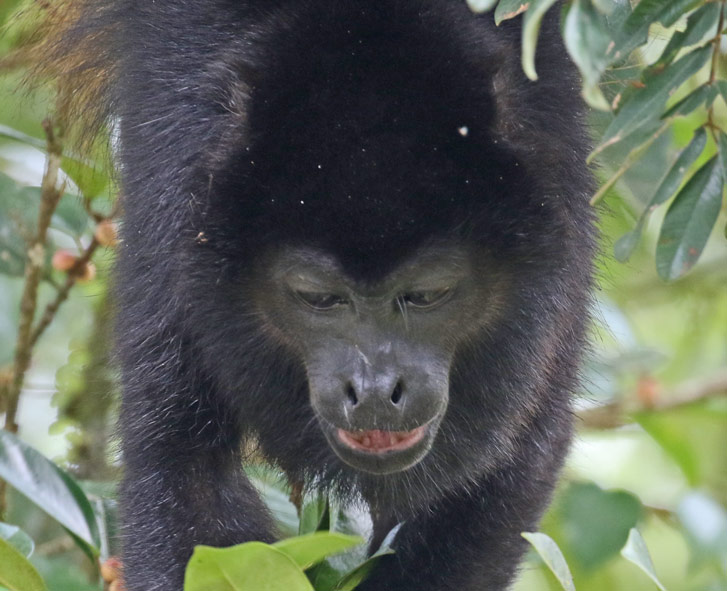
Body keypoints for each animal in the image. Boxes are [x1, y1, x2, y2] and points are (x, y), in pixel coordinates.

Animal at [35, 0, 595, 589]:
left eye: (426, 294)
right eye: (319, 298)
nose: (374, 390)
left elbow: (511, 457)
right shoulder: (178, 212)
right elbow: (185, 463)